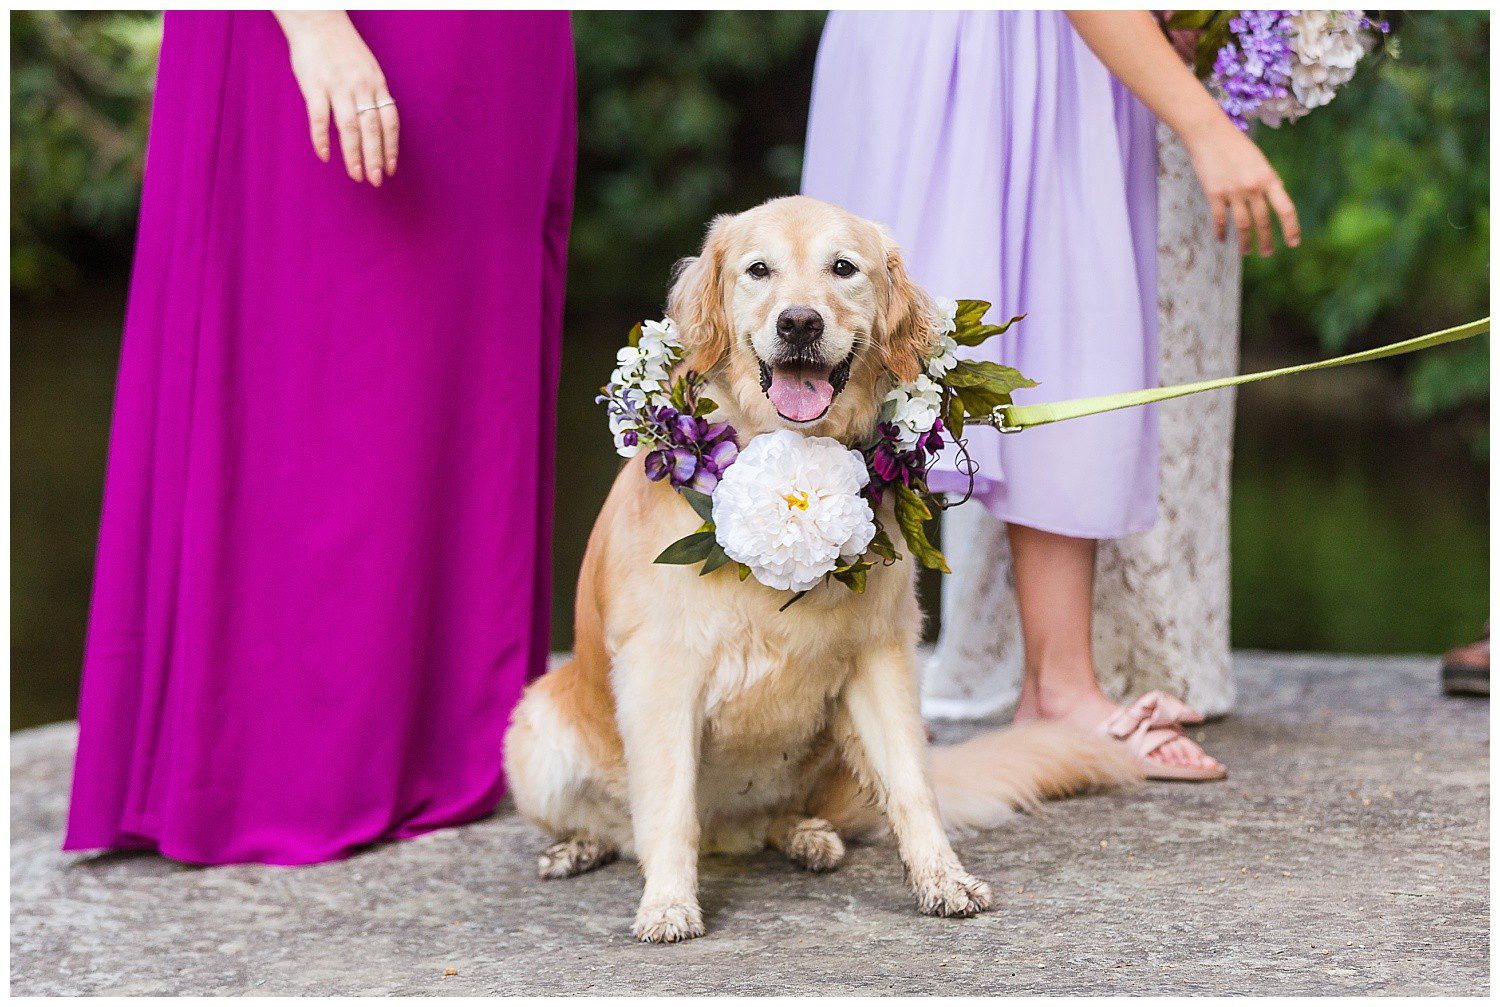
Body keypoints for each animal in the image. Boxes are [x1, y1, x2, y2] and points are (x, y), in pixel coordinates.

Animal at [504, 199, 1134, 948]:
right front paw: (668, 904)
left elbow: (913, 786)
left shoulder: (880, 657)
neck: (789, 453)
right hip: (536, 727)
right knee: (621, 828)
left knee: (780, 819)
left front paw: (943, 879)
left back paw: (808, 836)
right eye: (758, 269)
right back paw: (577, 848)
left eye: (843, 267)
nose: (799, 323)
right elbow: (667, 806)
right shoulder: (662, 670)